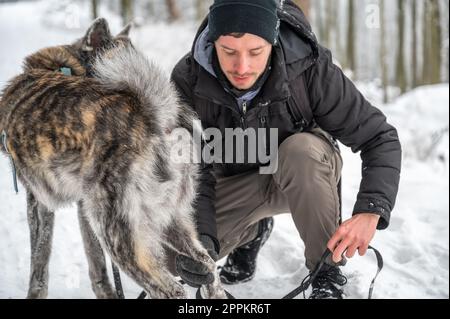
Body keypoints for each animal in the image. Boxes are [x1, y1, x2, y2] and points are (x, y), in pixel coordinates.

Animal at [0, 18, 225, 300]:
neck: (67, 67)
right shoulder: (83, 207)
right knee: (209, 266)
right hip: (170, 221)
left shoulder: (39, 202)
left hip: (118, 236)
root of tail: (155, 115)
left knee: (170, 289)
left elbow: (39, 260)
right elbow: (96, 262)